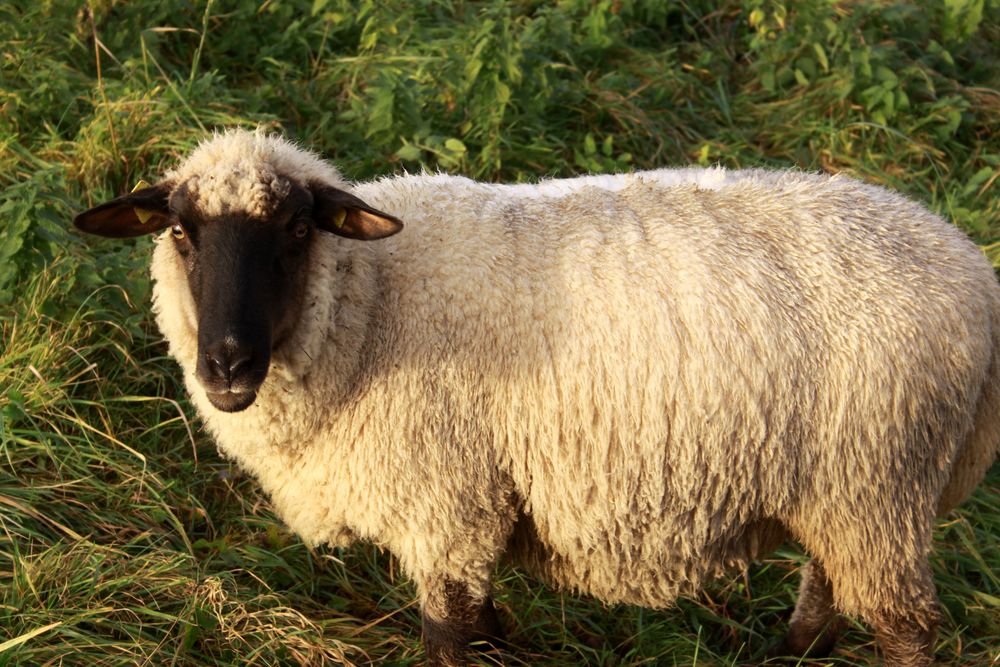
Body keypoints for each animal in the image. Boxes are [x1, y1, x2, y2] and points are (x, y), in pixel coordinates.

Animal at [72, 128, 1000, 664]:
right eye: (181, 231)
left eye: (298, 229)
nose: (226, 366)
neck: (374, 305)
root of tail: (974, 273)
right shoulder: (478, 504)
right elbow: (482, 620)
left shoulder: (446, 501)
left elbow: (447, 637)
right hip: (842, 484)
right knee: (829, 586)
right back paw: (789, 651)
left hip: (877, 481)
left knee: (905, 627)